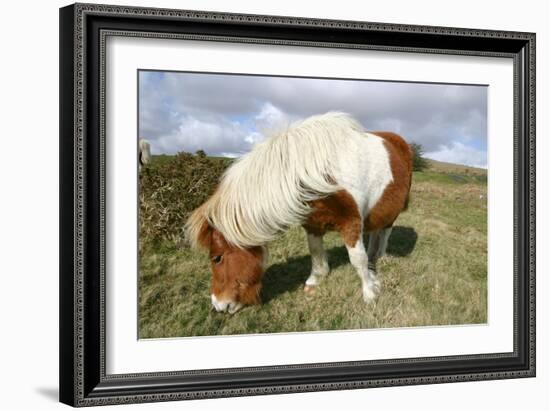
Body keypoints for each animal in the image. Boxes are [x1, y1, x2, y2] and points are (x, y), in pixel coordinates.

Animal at [187, 111, 414, 314]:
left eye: (217, 258)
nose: (218, 306)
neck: (316, 175)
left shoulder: (352, 223)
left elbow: (358, 259)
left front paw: (370, 292)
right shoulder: (312, 223)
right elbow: (315, 252)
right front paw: (316, 279)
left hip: (392, 212)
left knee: (385, 231)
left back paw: (380, 256)